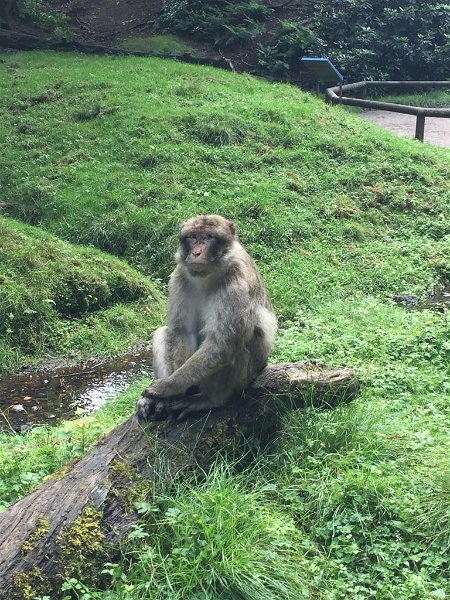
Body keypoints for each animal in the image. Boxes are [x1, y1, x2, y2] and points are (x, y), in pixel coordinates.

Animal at [136, 214, 277, 422]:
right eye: (193, 236)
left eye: (209, 237)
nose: (196, 252)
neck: (208, 277)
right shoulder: (179, 277)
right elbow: (181, 332)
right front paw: (167, 394)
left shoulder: (237, 284)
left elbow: (222, 343)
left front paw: (168, 387)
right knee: (164, 332)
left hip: (247, 375)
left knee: (238, 342)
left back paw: (212, 399)